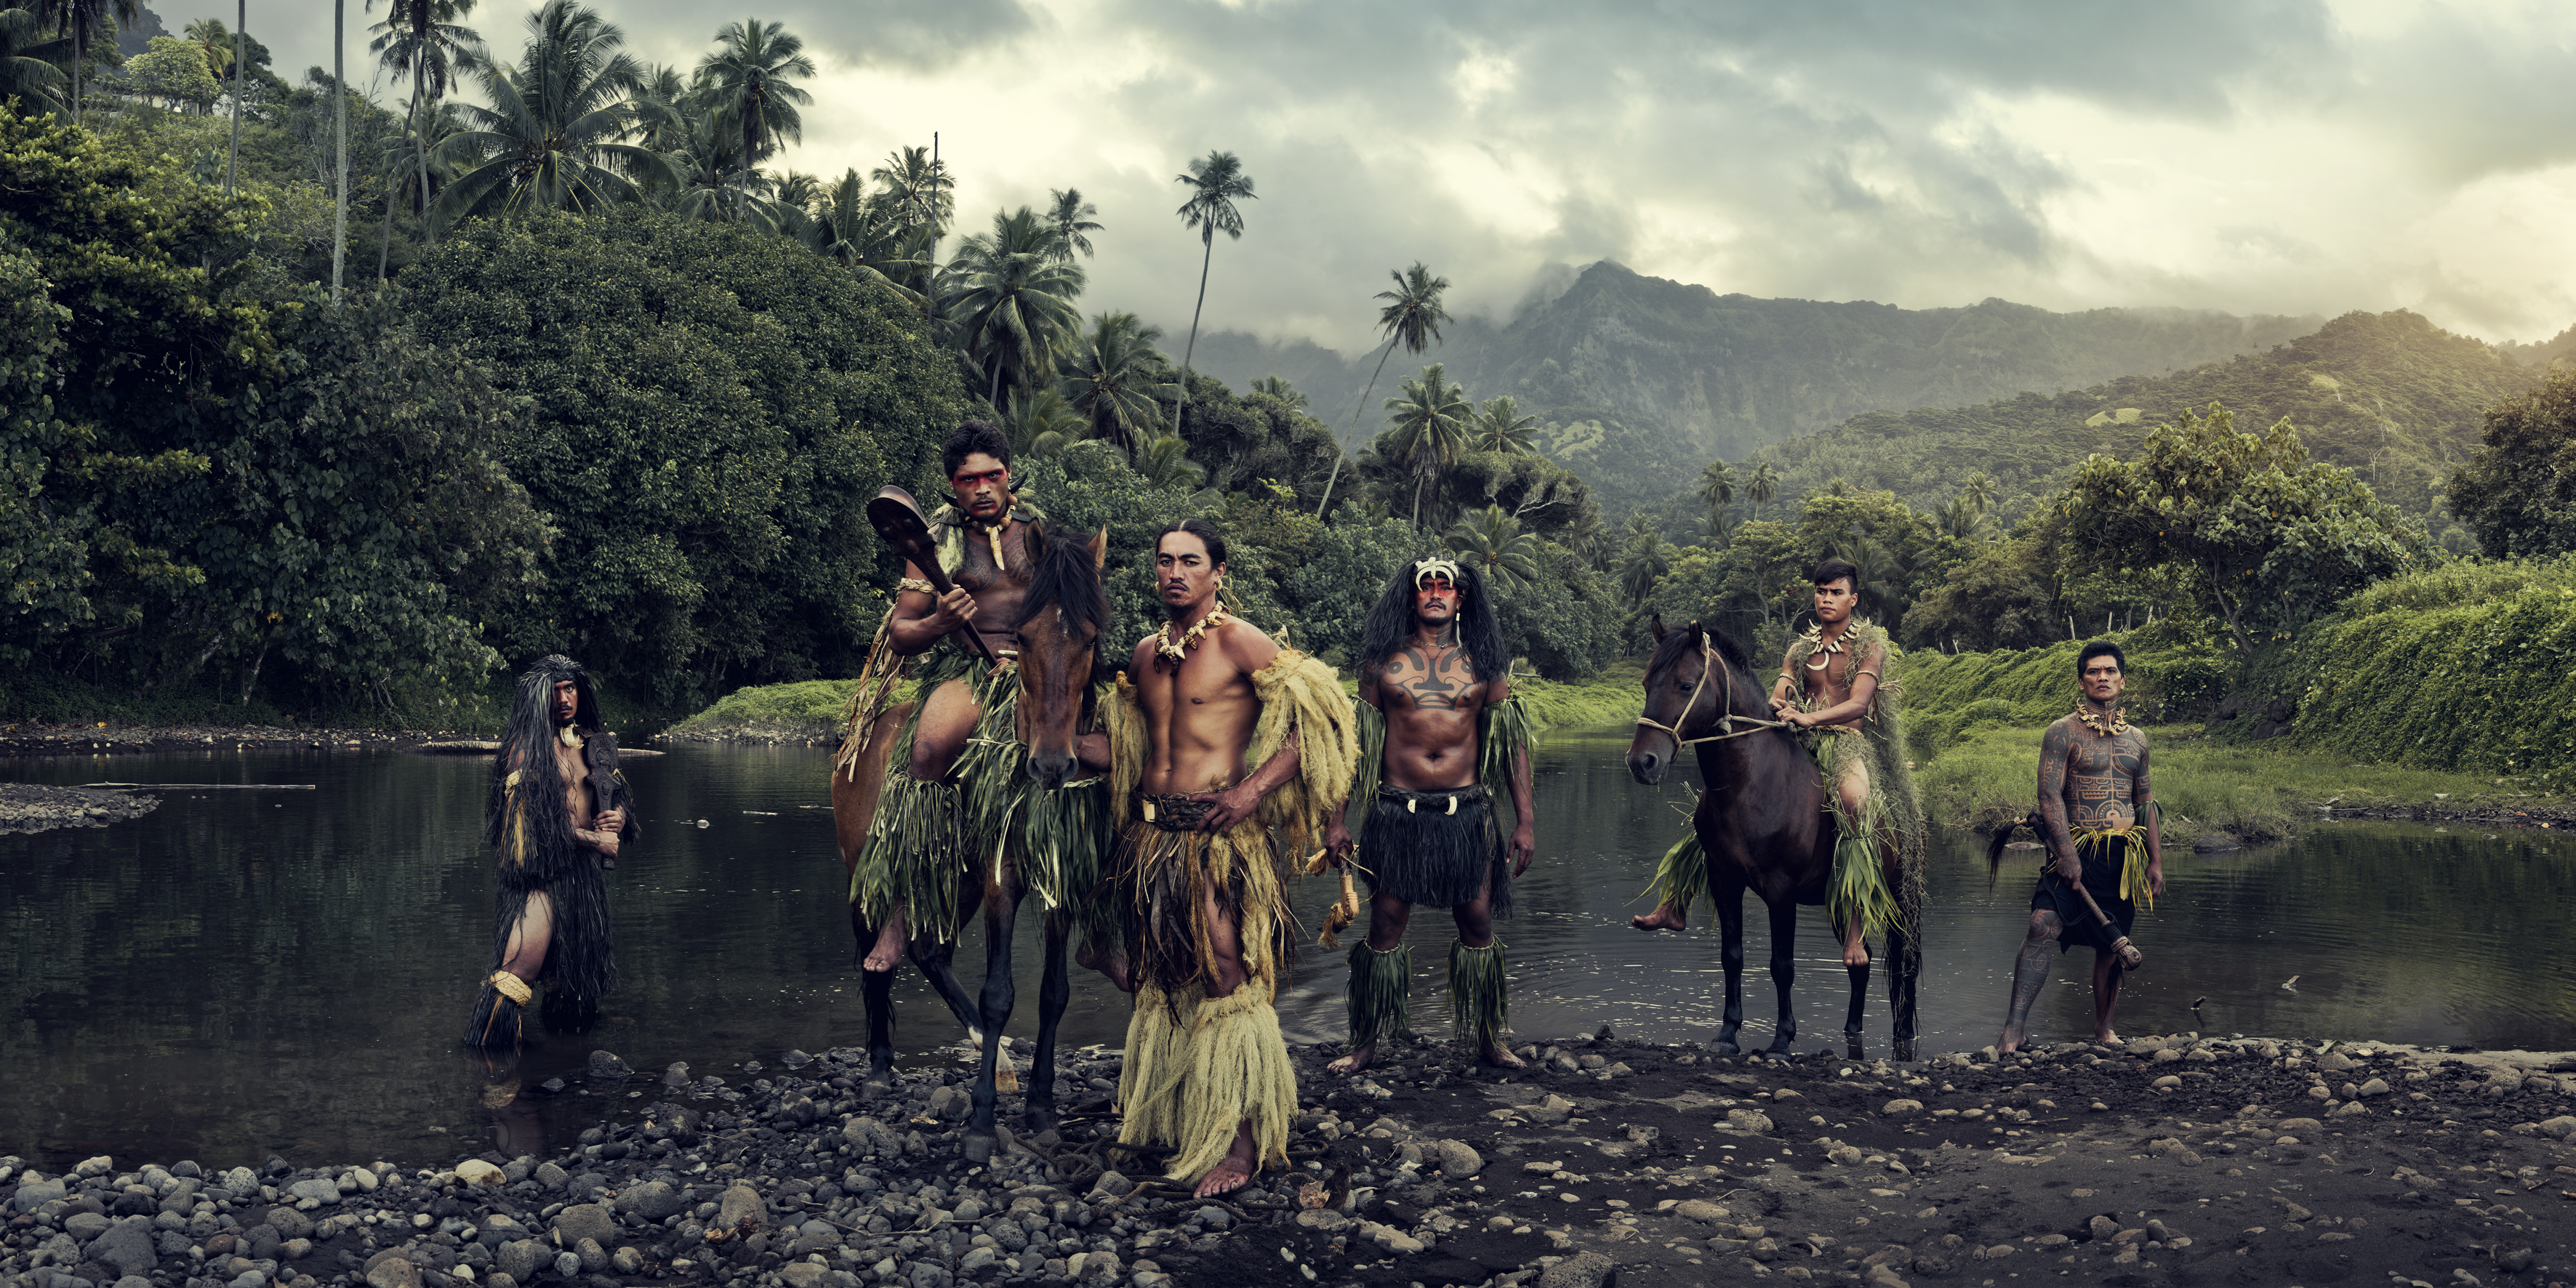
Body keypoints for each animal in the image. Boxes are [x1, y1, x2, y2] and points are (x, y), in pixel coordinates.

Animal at [824, 518, 1107, 1164]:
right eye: (1023, 638)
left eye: (1090, 638)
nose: (1051, 766)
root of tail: (859, 737)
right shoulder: (1004, 879)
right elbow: (999, 993)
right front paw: (981, 1121)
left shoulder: (1057, 882)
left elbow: (1053, 994)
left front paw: (1040, 1104)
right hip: (867, 870)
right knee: (877, 953)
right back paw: (881, 1066)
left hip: (956, 877)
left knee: (929, 951)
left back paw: (995, 1057)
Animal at [1618, 621, 1927, 1056]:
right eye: (1646, 684)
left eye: (1685, 685)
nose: (1642, 763)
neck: (1751, 784)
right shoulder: (1724, 879)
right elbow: (1732, 956)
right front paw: (1727, 1033)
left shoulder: (1781, 891)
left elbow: (1782, 966)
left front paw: (1782, 1039)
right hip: (1841, 897)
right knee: (1862, 960)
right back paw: (1852, 1028)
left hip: (1899, 895)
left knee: (1904, 965)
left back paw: (1903, 1035)